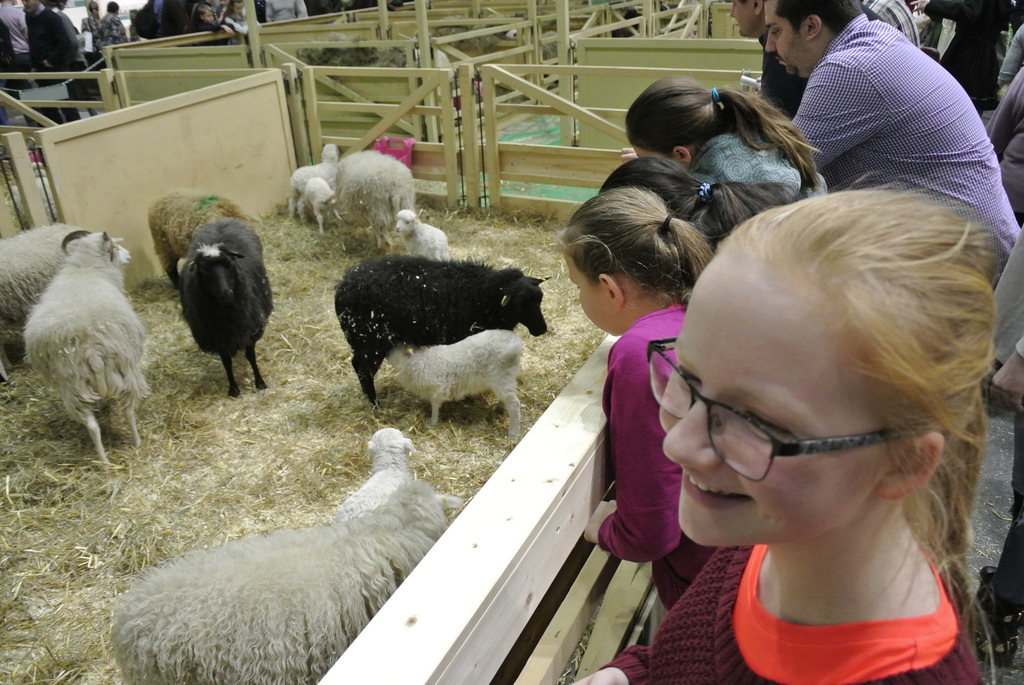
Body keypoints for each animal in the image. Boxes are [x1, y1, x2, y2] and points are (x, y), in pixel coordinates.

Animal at [24, 231, 147, 464]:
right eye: (116, 248)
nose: (128, 256)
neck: (86, 268)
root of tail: (92, 349)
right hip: (125, 368)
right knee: (128, 412)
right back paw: (136, 443)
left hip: (72, 383)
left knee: (92, 426)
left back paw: (104, 462)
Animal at [179, 218, 273, 398]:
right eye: (204, 270)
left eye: (229, 264)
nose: (226, 293)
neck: (227, 314)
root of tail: (221, 220)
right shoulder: (218, 337)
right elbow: (226, 362)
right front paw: (233, 389)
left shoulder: (249, 329)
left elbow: (251, 357)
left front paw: (260, 382)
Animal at [334, 255, 548, 405]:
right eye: (522, 303)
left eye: (540, 299)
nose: (542, 329)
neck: (482, 295)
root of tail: (342, 287)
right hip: (370, 340)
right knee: (364, 370)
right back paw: (376, 404)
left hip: (362, 341)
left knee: (357, 365)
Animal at [387, 329, 523, 438]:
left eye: (393, 348)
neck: (417, 363)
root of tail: (515, 342)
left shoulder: (437, 390)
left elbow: (435, 406)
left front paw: (433, 422)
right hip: (504, 380)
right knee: (507, 400)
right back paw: (499, 408)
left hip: (502, 378)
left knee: (514, 404)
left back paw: (513, 433)